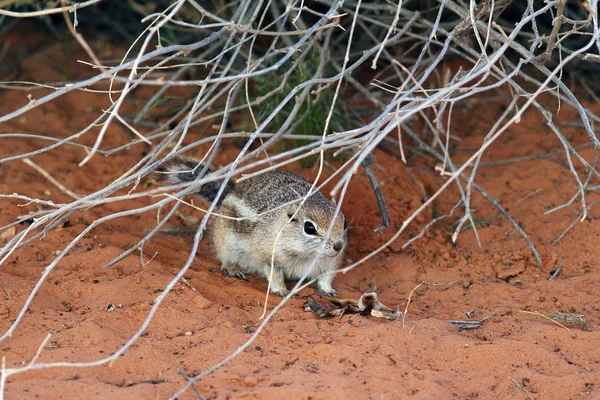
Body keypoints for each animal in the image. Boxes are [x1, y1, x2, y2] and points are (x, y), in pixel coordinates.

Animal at [157, 156, 350, 296]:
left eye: (344, 222)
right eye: (309, 228)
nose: (338, 246)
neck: (305, 255)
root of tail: (230, 192)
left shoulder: (329, 263)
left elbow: (326, 277)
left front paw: (327, 290)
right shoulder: (270, 256)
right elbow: (274, 275)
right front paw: (281, 290)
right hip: (225, 242)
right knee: (224, 259)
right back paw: (232, 269)